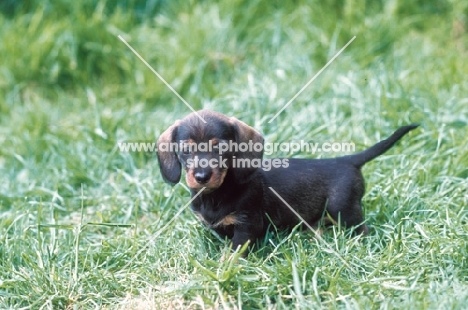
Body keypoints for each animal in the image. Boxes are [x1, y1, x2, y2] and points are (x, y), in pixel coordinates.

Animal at [156, 110, 416, 256]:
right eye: (186, 149)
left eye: (220, 147)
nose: (201, 177)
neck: (216, 195)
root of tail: (346, 160)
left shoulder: (247, 226)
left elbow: (233, 253)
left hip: (343, 209)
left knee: (361, 229)